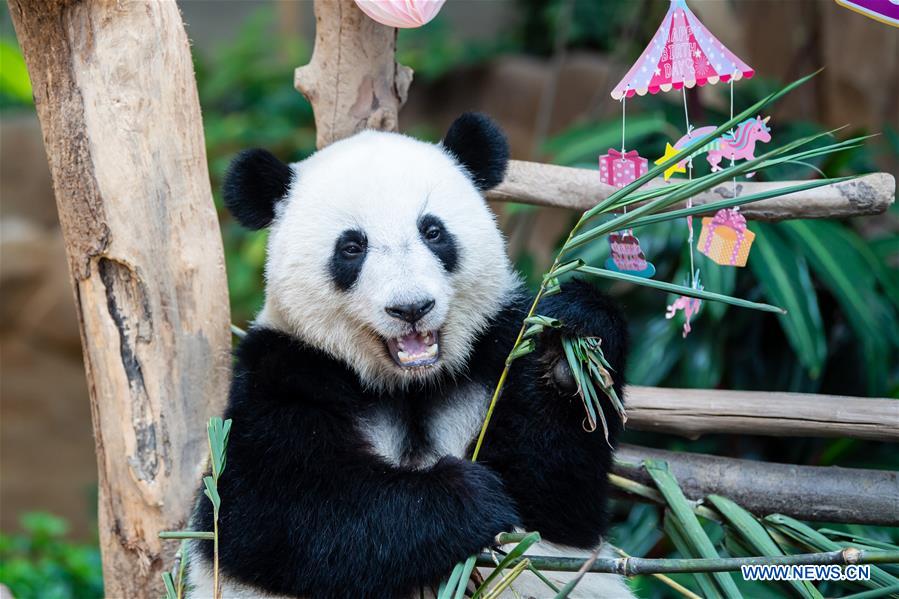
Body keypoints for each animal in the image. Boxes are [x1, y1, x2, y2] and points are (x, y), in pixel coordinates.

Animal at [188, 113, 632, 599]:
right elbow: (274, 513)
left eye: (432, 231)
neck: (409, 386)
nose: (411, 307)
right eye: (351, 246)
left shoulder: (492, 350)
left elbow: (557, 499)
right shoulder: (286, 370)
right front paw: (465, 496)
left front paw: (568, 350)